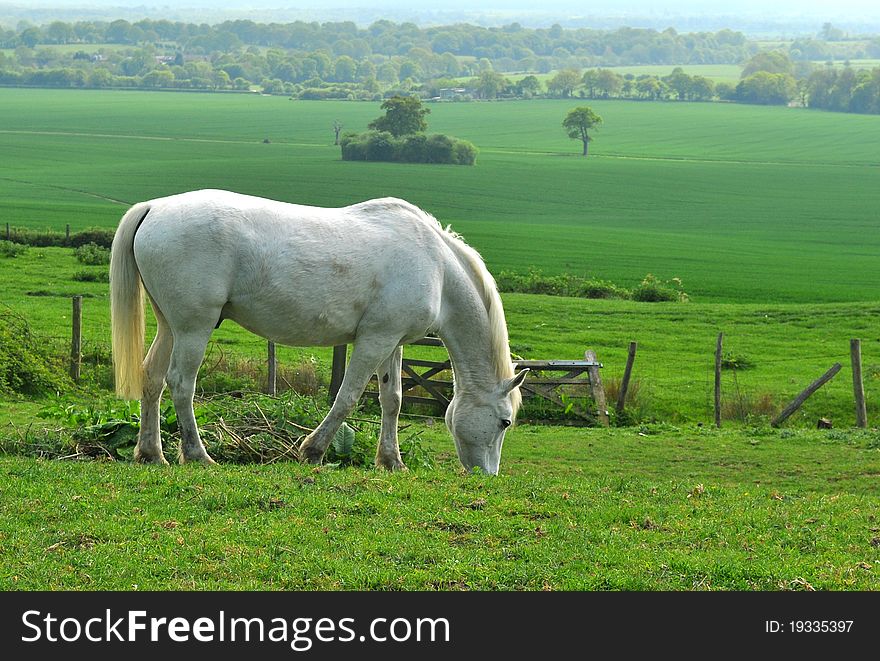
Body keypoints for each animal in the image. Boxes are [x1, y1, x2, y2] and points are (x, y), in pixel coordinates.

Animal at [109, 188, 524, 472]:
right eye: (505, 421)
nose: (487, 475)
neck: (435, 264)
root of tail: (155, 207)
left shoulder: (392, 342)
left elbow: (393, 399)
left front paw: (391, 461)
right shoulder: (373, 341)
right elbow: (347, 397)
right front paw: (313, 450)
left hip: (171, 326)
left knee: (152, 378)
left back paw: (152, 453)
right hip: (194, 329)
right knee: (181, 384)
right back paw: (198, 455)